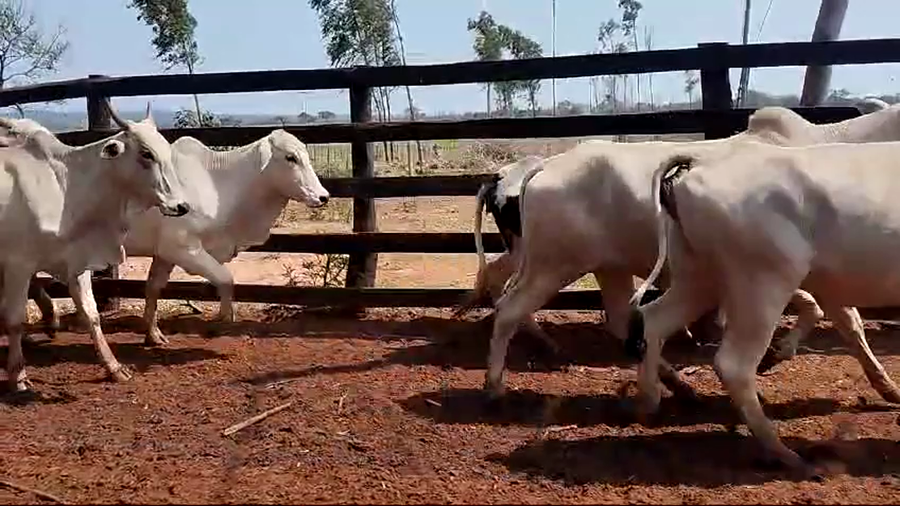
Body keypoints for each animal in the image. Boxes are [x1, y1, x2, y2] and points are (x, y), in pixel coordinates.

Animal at [0, 101, 189, 393]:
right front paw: (18, 375)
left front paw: (114, 368)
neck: (66, 189)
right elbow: (14, 319)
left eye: (167, 151)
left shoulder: (77, 261)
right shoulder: (17, 265)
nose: (181, 206)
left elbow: (91, 314)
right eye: (146, 153)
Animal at [18, 124, 330, 345]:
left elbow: (153, 288)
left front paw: (153, 334)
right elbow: (225, 278)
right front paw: (222, 321)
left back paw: (49, 318)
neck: (219, 184)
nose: (323, 196)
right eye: (290, 158)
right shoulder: (184, 248)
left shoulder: (165, 253)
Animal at [625, 139, 900, 477]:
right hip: (762, 281)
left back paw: (648, 405)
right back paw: (787, 455)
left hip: (699, 274)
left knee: (654, 320)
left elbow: (851, 325)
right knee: (734, 364)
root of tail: (701, 160)